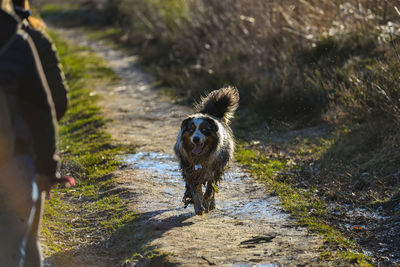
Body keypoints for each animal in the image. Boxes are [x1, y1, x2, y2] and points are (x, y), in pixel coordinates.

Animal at [173, 87, 239, 217]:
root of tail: (211, 113)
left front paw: (206, 203)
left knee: (212, 188)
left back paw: (211, 204)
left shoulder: (215, 169)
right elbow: (194, 190)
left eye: (204, 130)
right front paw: (198, 207)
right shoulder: (189, 169)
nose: (196, 139)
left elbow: (209, 190)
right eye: (191, 130)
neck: (200, 156)